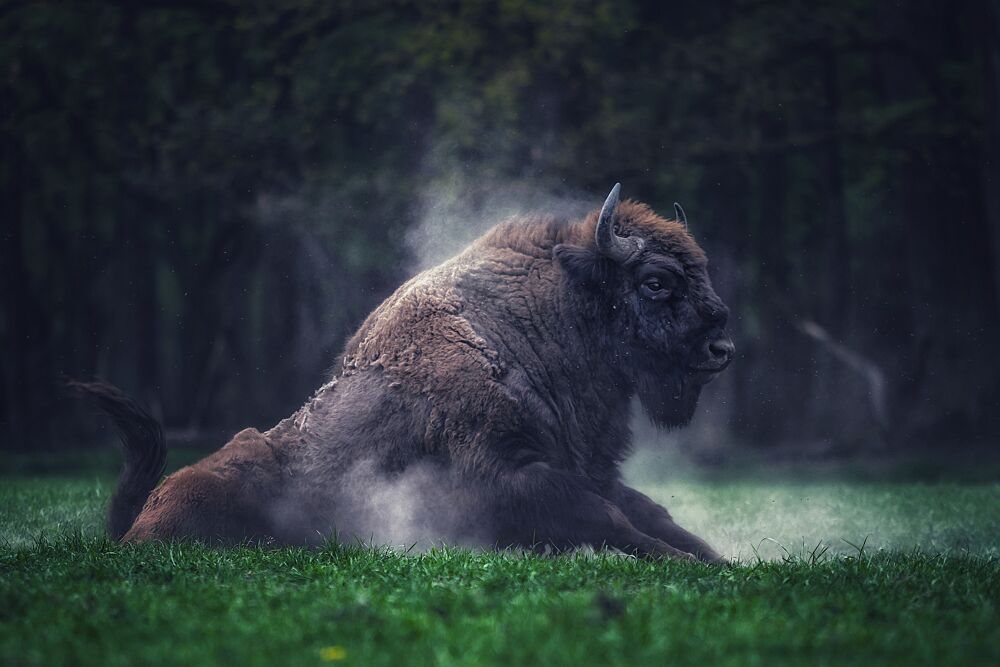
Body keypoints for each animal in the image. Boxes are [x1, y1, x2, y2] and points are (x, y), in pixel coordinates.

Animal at [75, 183, 734, 562]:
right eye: (656, 282)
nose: (721, 346)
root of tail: (137, 521)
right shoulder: (514, 477)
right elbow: (611, 520)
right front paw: (688, 566)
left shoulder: (589, 470)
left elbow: (652, 513)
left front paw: (722, 560)